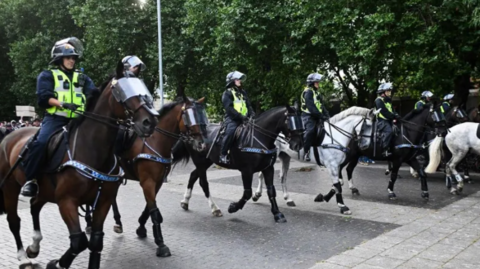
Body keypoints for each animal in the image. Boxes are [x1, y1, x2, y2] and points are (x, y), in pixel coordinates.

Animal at [0, 60, 158, 268]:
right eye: (121, 92)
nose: (151, 121)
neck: (92, 149)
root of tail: (9, 136)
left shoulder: (103, 201)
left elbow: (96, 241)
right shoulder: (67, 201)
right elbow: (79, 241)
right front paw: (56, 263)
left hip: (45, 191)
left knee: (34, 206)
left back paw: (34, 247)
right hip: (10, 186)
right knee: (14, 220)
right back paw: (23, 256)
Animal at [84, 96, 208, 255]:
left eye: (202, 115)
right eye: (189, 116)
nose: (202, 144)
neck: (155, 140)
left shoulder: (158, 182)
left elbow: (149, 207)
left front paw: (141, 228)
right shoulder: (147, 181)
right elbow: (154, 210)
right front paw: (160, 243)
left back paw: (117, 222)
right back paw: (89, 222)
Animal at [172, 105, 304, 222]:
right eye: (291, 121)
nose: (298, 145)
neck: (258, 138)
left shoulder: (268, 168)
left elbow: (271, 190)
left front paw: (277, 213)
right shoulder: (246, 171)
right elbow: (247, 193)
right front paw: (233, 207)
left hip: (206, 162)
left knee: (193, 175)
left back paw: (185, 202)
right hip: (200, 161)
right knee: (203, 183)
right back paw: (214, 208)